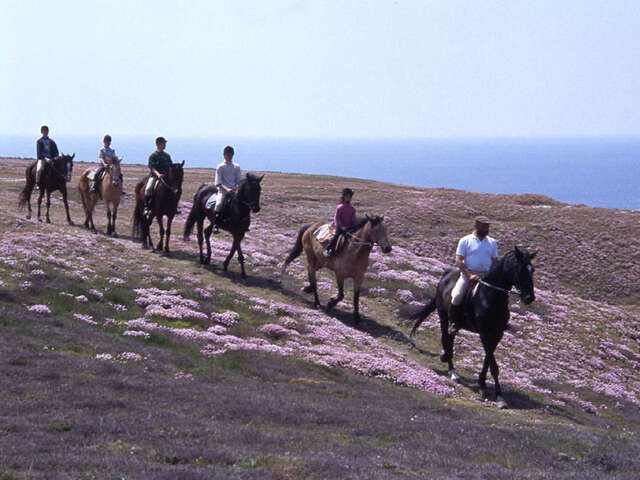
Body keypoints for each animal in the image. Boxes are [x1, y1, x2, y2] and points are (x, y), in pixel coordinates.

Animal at [410, 248, 536, 408]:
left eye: (532, 270)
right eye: (520, 270)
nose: (529, 298)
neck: (490, 297)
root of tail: (445, 276)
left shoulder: (497, 334)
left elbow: (489, 361)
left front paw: (493, 391)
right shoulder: (484, 334)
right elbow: (492, 364)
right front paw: (488, 390)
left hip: (457, 323)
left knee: (450, 337)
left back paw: (445, 357)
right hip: (443, 315)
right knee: (445, 337)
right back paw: (453, 371)